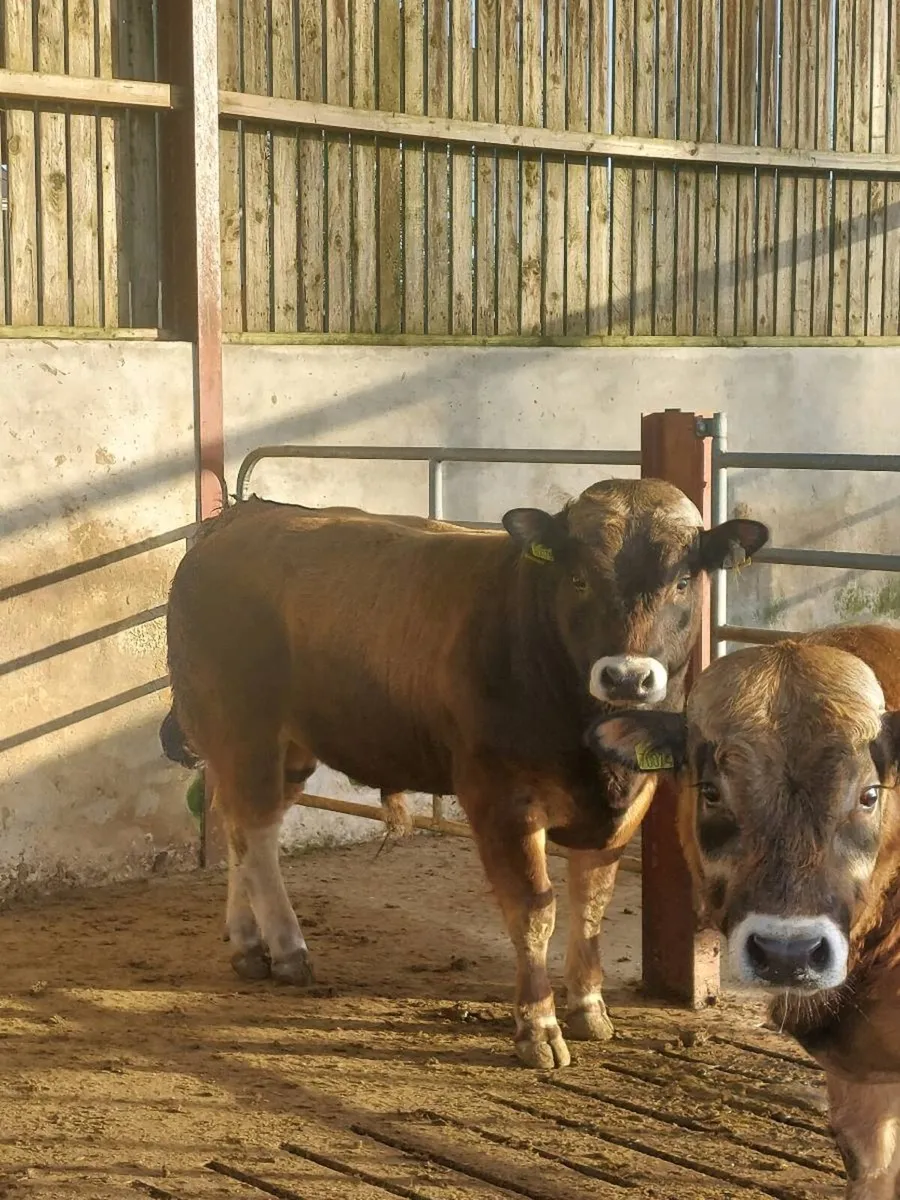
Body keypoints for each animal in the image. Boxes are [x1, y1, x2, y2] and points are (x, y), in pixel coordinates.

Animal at [161, 481, 767, 1069]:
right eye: (578, 579)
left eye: (683, 580)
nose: (625, 676)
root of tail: (239, 521)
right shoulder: (500, 798)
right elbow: (534, 909)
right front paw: (538, 1027)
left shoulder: (627, 802)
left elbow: (592, 904)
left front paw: (589, 1006)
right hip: (243, 728)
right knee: (257, 832)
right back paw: (287, 948)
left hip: (285, 746)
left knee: (239, 827)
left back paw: (248, 943)